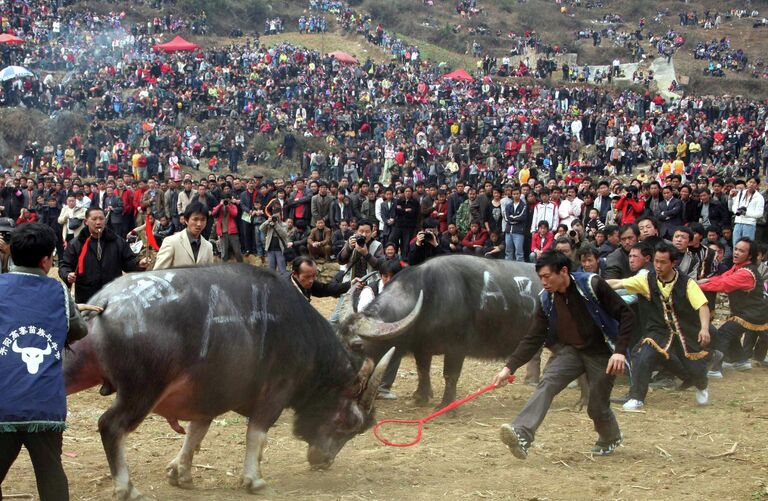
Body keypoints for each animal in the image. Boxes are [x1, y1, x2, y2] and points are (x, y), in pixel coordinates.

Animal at [63, 264, 392, 498]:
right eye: (350, 423)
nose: (324, 461)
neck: (303, 338)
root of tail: (106, 302)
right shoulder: (276, 392)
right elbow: (256, 435)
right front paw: (254, 480)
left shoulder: (208, 395)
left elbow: (196, 432)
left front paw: (180, 472)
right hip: (141, 391)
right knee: (111, 426)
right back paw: (127, 487)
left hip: (74, 363)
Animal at [340, 254, 544, 406]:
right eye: (338, 336)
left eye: (357, 345)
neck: (431, 297)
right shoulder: (422, 348)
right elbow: (423, 371)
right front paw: (420, 397)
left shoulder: (456, 348)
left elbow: (450, 375)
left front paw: (446, 405)